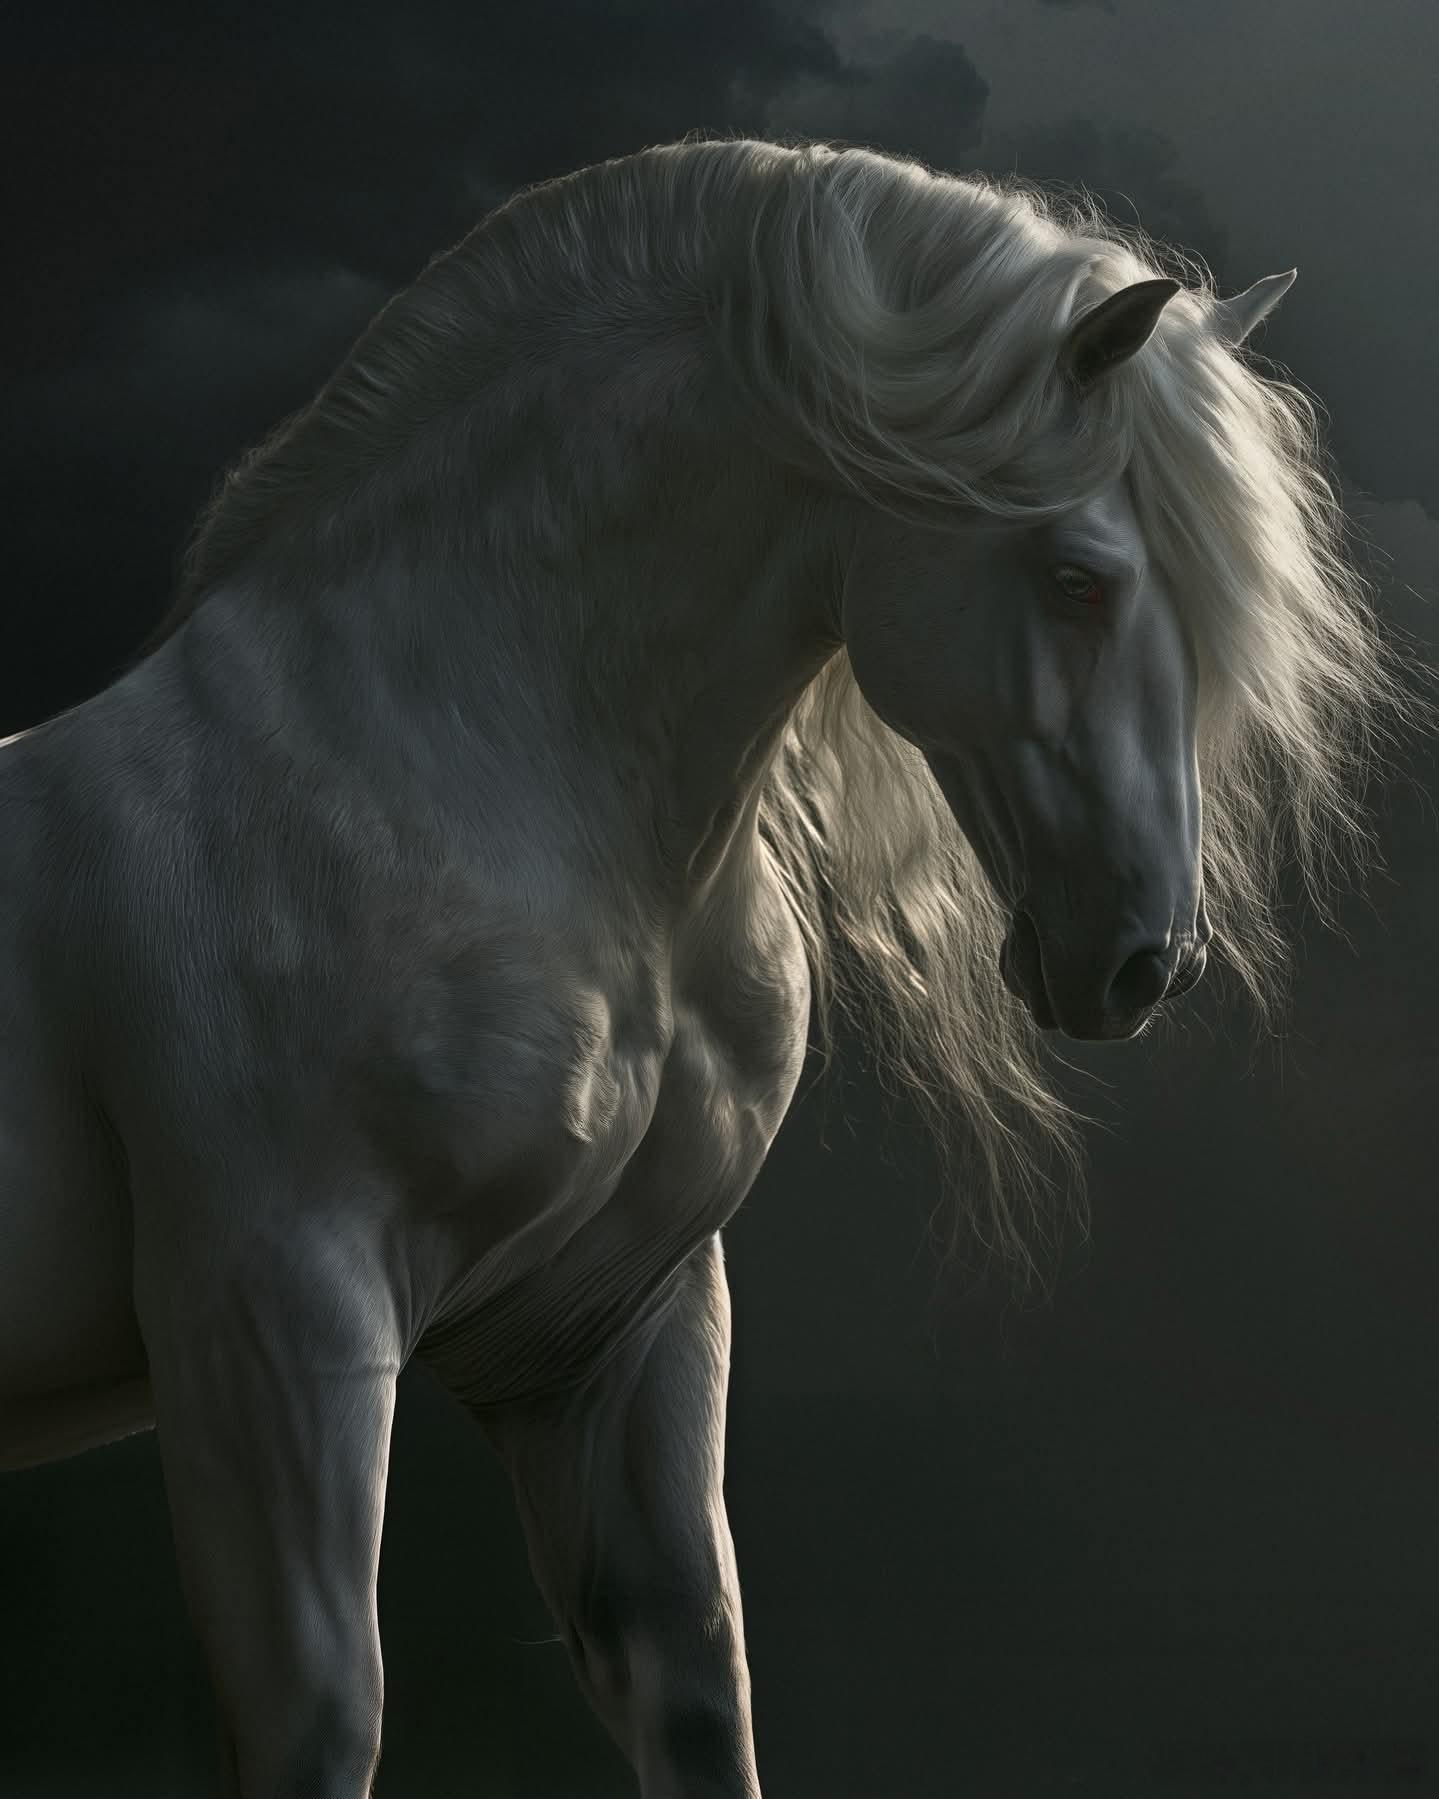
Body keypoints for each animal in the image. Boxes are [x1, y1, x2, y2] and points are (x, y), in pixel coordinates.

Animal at [0, 134, 1417, 1796]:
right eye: (1078, 575)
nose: (1145, 961)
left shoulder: (611, 1326)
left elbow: (693, 1679)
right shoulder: (272, 1325)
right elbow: (320, 1715)